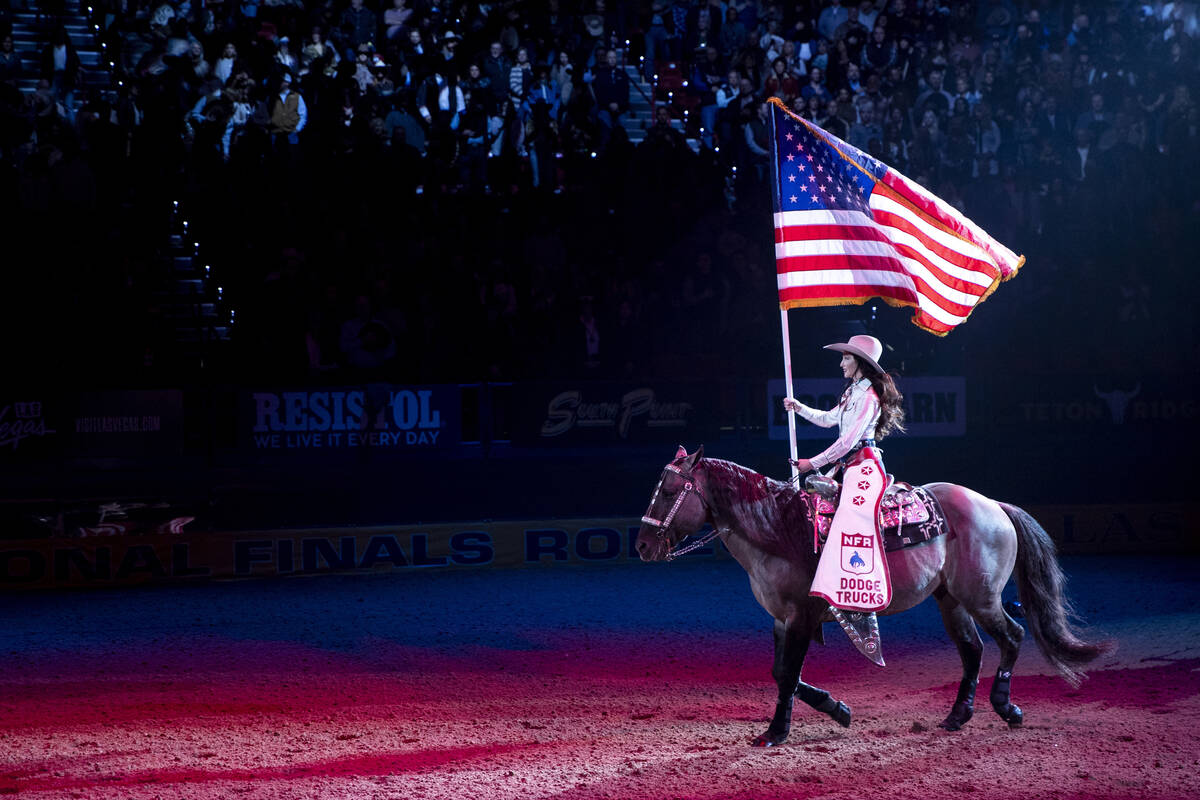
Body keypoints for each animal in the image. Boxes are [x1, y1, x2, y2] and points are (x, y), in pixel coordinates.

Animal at [638, 448, 1113, 748]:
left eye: (669, 491)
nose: (642, 546)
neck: (778, 528)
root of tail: (994, 505)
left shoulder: (802, 616)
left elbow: (788, 674)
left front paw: (775, 733)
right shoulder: (780, 618)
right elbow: (780, 672)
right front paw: (837, 709)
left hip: (982, 597)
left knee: (1010, 637)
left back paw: (1006, 708)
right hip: (950, 599)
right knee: (972, 650)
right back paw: (957, 716)